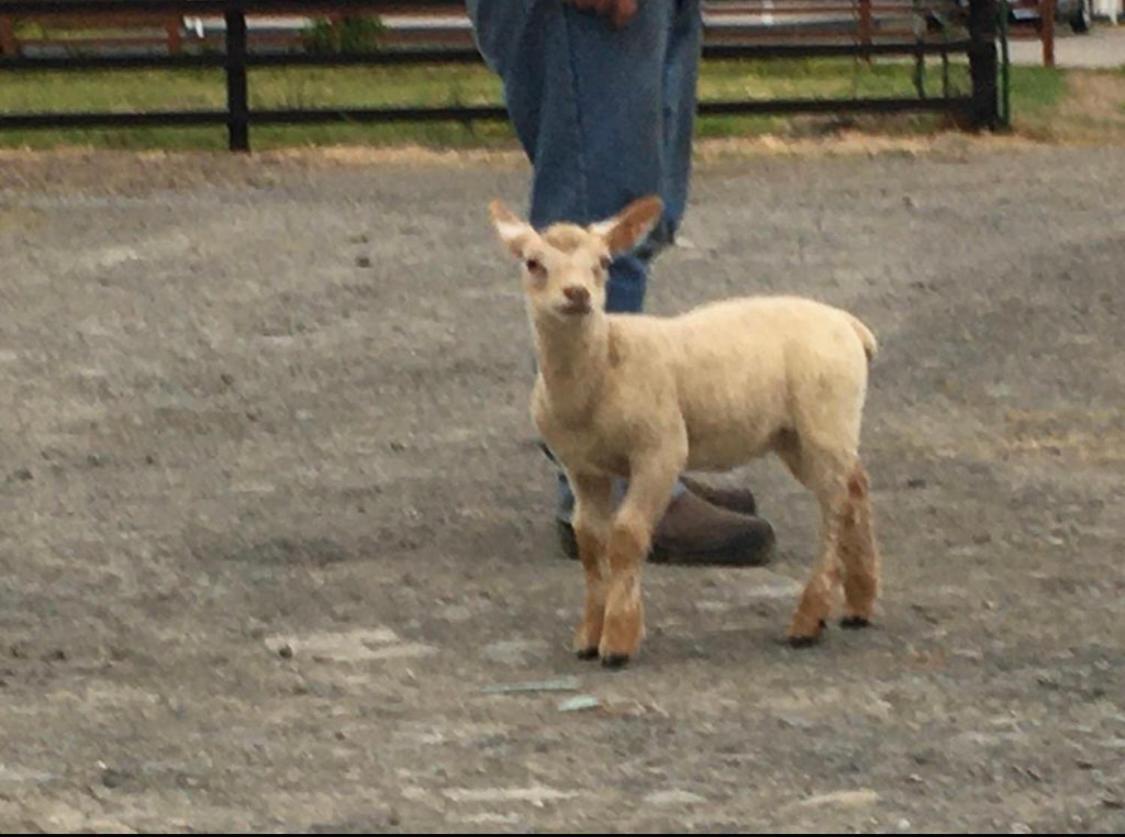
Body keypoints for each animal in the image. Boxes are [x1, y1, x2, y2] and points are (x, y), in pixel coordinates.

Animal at [488, 194, 882, 666]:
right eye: (533, 263)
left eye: (603, 262)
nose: (577, 294)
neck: (602, 365)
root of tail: (848, 325)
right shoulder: (581, 467)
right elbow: (590, 541)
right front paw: (587, 636)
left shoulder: (660, 450)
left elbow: (627, 535)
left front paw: (618, 640)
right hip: (797, 434)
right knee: (856, 487)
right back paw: (859, 603)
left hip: (825, 415)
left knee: (835, 509)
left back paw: (809, 619)